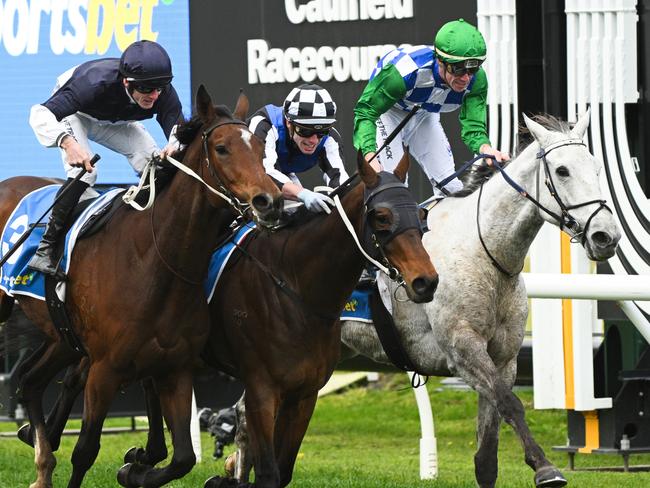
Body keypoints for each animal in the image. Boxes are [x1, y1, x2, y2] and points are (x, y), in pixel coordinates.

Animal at [0, 85, 280, 488]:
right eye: (222, 147)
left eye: (260, 148)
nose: (268, 200)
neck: (156, 262)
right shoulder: (105, 369)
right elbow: (85, 451)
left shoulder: (174, 369)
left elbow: (183, 458)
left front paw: (135, 468)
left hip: (62, 335)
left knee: (30, 380)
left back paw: (42, 461)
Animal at [336, 111, 620, 488]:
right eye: (562, 170)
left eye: (596, 168)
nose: (606, 236)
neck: (483, 252)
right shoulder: (462, 349)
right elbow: (511, 404)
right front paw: (546, 468)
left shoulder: (503, 357)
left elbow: (488, 452)